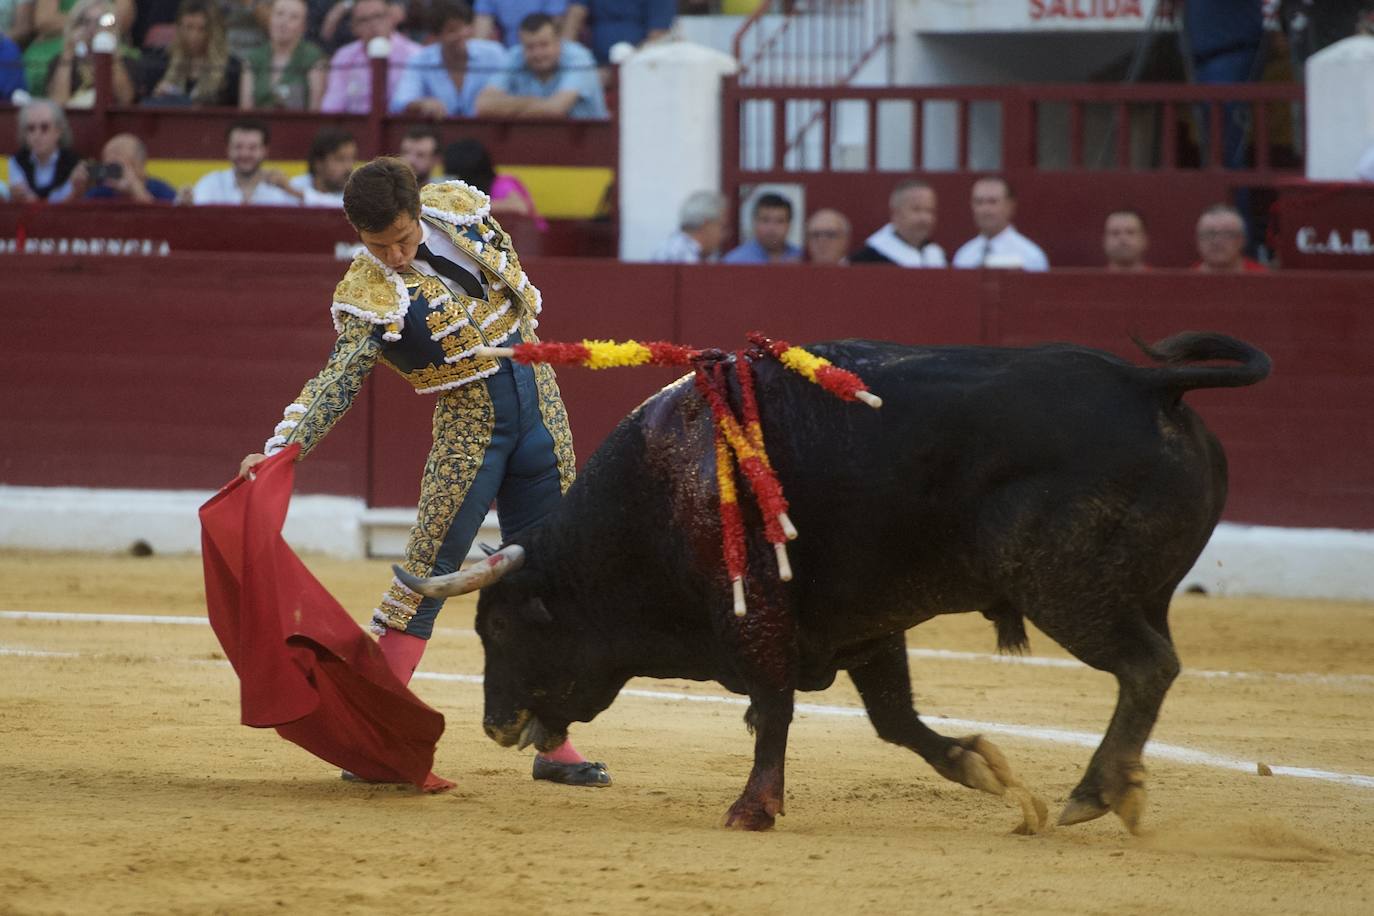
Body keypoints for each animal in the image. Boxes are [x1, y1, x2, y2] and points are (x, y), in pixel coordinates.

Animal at [395, 333, 1264, 834]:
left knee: (1146, 667)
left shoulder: (757, 620)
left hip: (1067, 586)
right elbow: (896, 722)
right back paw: (1115, 789)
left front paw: (752, 809)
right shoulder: (868, 628)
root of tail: (1146, 384)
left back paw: (1097, 791)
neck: (654, 497)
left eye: (498, 628)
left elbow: (774, 709)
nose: (494, 726)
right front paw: (984, 771)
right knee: (1152, 668)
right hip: (1132, 591)